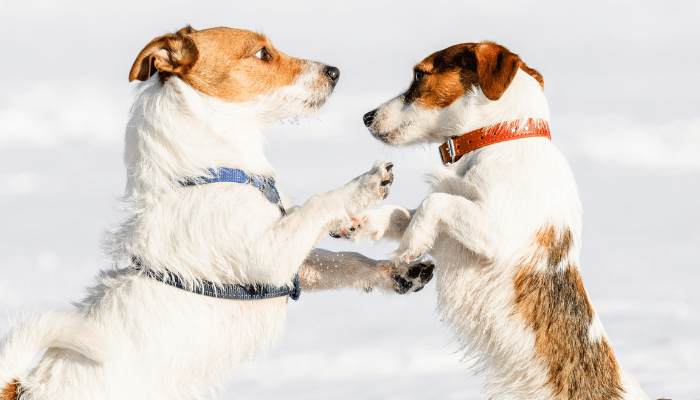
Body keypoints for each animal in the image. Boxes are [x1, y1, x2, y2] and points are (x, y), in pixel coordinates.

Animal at [342, 42, 648, 398]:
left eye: (420, 75)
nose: (366, 117)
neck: (498, 137)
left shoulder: (493, 232)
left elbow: (434, 203)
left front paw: (409, 246)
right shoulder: (450, 234)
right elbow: (404, 213)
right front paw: (360, 221)